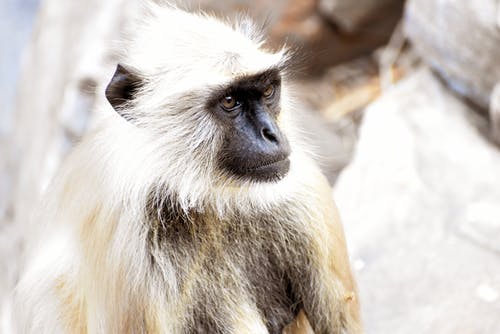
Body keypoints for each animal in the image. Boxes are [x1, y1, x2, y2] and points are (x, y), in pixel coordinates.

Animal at [14, 3, 360, 334]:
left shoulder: (302, 193)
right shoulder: (129, 246)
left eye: (267, 91)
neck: (210, 202)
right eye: (230, 101)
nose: (271, 133)